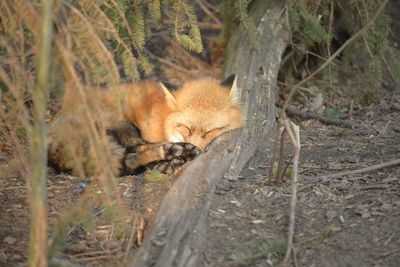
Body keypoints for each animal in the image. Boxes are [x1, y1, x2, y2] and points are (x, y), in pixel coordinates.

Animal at [48, 76, 245, 176]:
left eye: (210, 131)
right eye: (185, 128)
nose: (198, 149)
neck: (164, 119)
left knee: (129, 160)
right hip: (124, 127)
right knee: (135, 153)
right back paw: (175, 152)